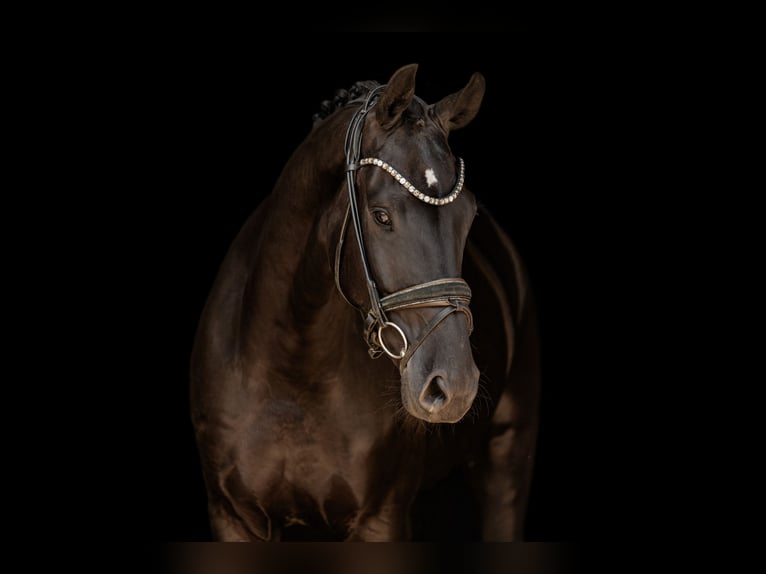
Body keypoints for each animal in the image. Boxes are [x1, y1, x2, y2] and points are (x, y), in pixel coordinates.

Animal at [189, 63, 540, 541]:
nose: (455, 386)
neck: (290, 372)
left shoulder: (381, 519)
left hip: (507, 460)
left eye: (468, 216)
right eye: (381, 215)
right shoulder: (232, 517)